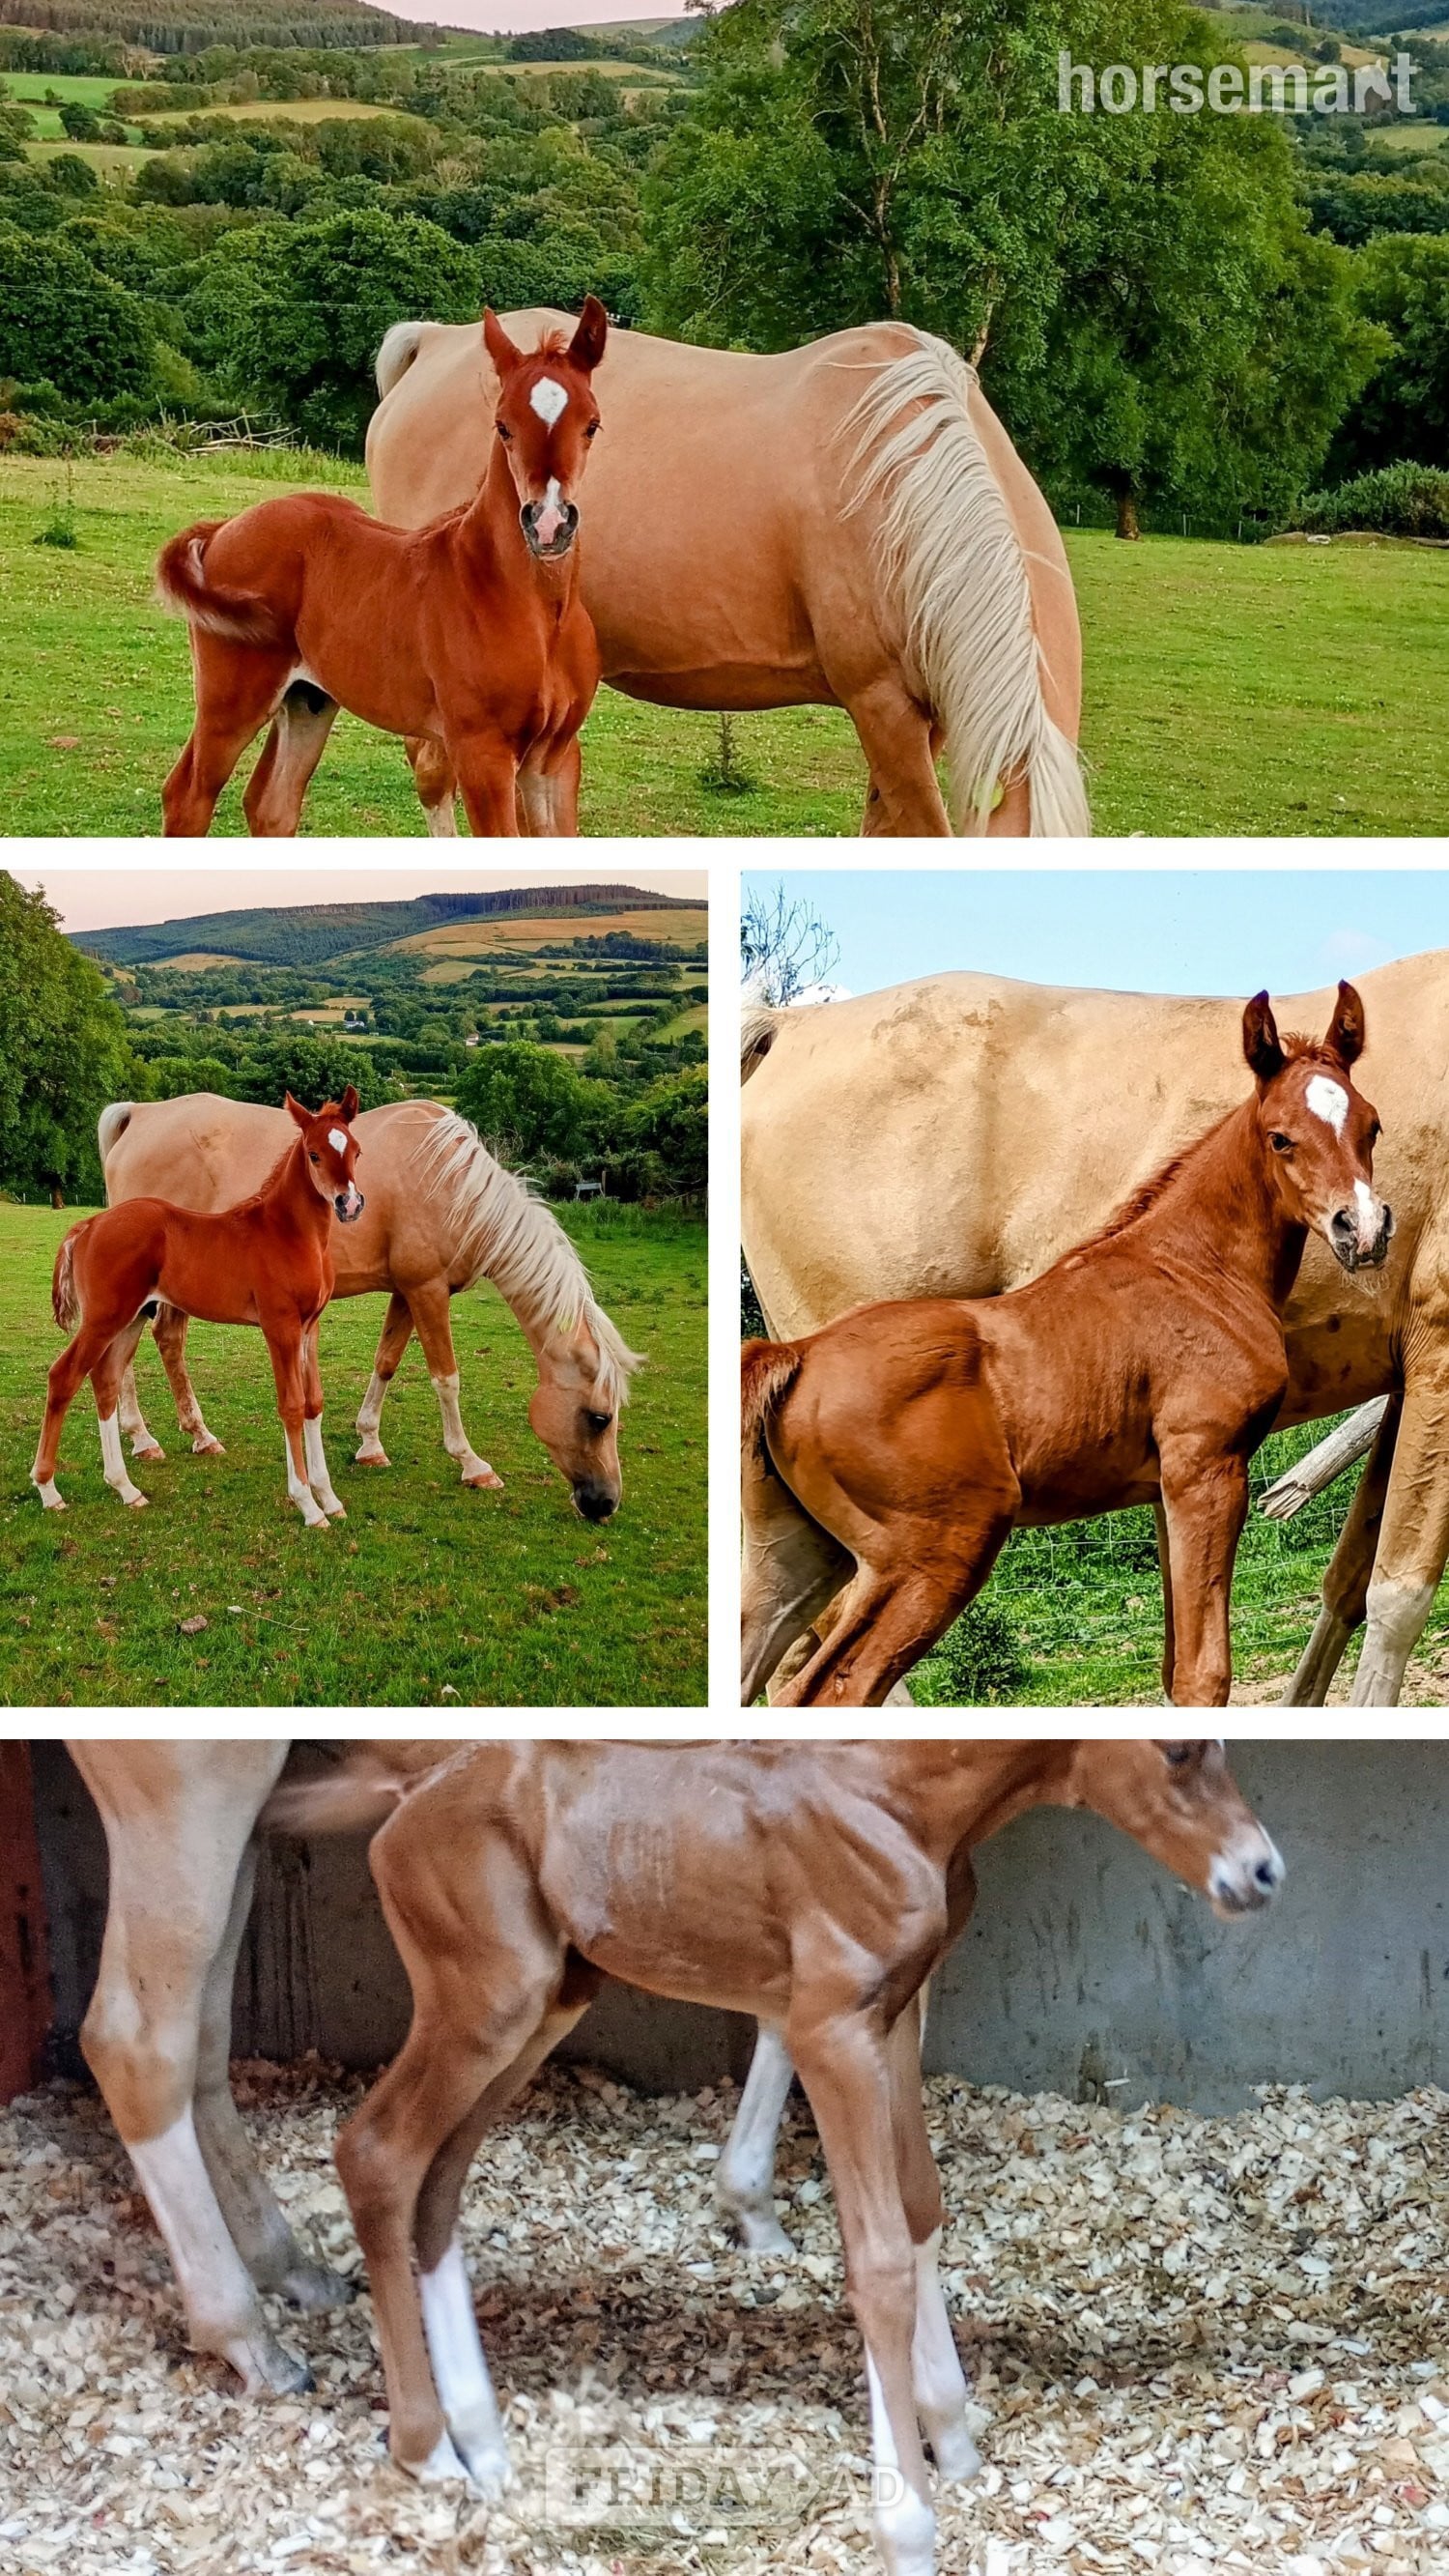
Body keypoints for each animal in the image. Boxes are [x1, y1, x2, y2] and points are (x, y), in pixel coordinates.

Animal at [33, 1093, 365, 1529]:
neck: (289, 1233)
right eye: (314, 1154)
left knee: (105, 1381)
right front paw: (307, 1505)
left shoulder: (310, 1327)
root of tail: (89, 1224)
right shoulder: (280, 1326)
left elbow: (314, 1404)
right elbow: (291, 1406)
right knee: (64, 1376)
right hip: (103, 1319)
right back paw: (48, 1489)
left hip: (129, 1318)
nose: (350, 1203)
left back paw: (126, 1488)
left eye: (356, 1151)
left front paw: (329, 1498)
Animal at [98, 1092, 638, 1523]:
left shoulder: (406, 1292)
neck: (451, 1183)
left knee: (163, 1343)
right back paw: (143, 1440)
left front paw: (370, 1444)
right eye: (599, 1418)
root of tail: (141, 1114)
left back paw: (196, 1435)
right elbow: (446, 1378)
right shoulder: (427, 1291)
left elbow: (387, 1362)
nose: (605, 1503)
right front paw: (472, 1463)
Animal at [156, 300, 606, 838]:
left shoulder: (555, 758)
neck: (536, 611)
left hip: (307, 699)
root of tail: (223, 528)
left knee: (271, 804)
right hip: (231, 701)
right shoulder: (481, 751)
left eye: (592, 424)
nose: (549, 524)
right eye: (503, 425)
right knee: (189, 794)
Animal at [263, 1739, 1282, 2576]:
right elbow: (876, 2261)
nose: (1263, 1871)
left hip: (544, 2003)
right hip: (486, 2002)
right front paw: (907, 2527)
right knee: (378, 2155)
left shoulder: (891, 2018)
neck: (896, 1798)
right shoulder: (831, 2031)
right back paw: (429, 2451)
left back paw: (486, 2447)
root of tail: (413, 1790)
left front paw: (951, 2438)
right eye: (1180, 1752)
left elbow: (920, 2207)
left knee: (436, 2183)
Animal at [742, 948, 1449, 1708]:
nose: (1364, 1231)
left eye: (1372, 1126)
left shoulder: (1177, 1478)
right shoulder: (1213, 1463)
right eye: (1280, 1138)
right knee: (841, 1685)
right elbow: (1227, 1664)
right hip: (932, 1557)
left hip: (803, 1553)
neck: (1188, 1266)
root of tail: (793, 1358)